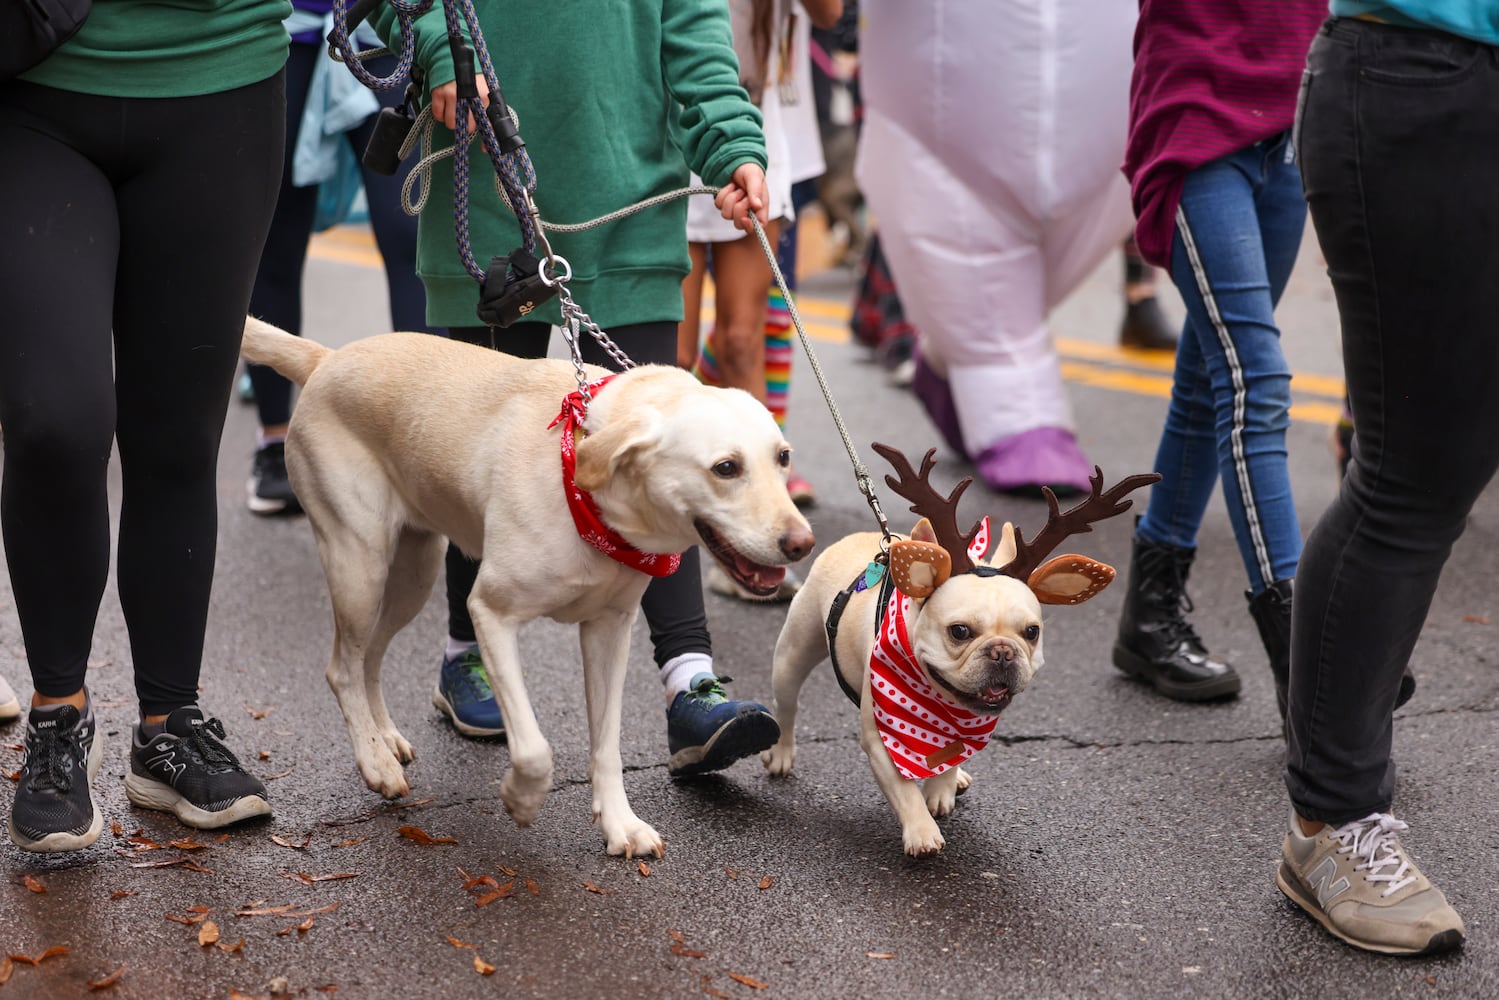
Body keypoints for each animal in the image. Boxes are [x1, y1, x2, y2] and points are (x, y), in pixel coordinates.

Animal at [239, 322, 815, 863]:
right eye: (725, 468)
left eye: (784, 457)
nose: (803, 544)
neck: (587, 489)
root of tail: (327, 358)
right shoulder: (491, 613)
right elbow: (535, 748)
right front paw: (521, 798)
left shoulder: (610, 631)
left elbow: (607, 744)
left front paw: (620, 824)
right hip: (359, 565)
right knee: (342, 667)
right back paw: (375, 761)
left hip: (412, 574)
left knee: (370, 658)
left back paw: (386, 740)